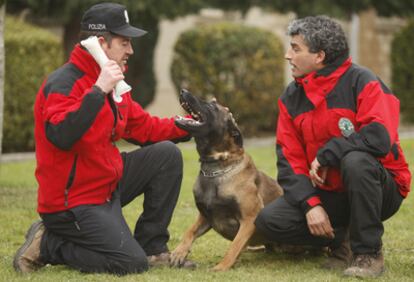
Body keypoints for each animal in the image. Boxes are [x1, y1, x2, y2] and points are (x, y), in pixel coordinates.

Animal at [170, 89, 284, 270]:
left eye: (213, 106)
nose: (183, 90)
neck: (216, 167)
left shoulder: (249, 219)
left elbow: (234, 246)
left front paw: (221, 267)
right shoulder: (205, 216)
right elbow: (189, 231)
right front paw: (179, 252)